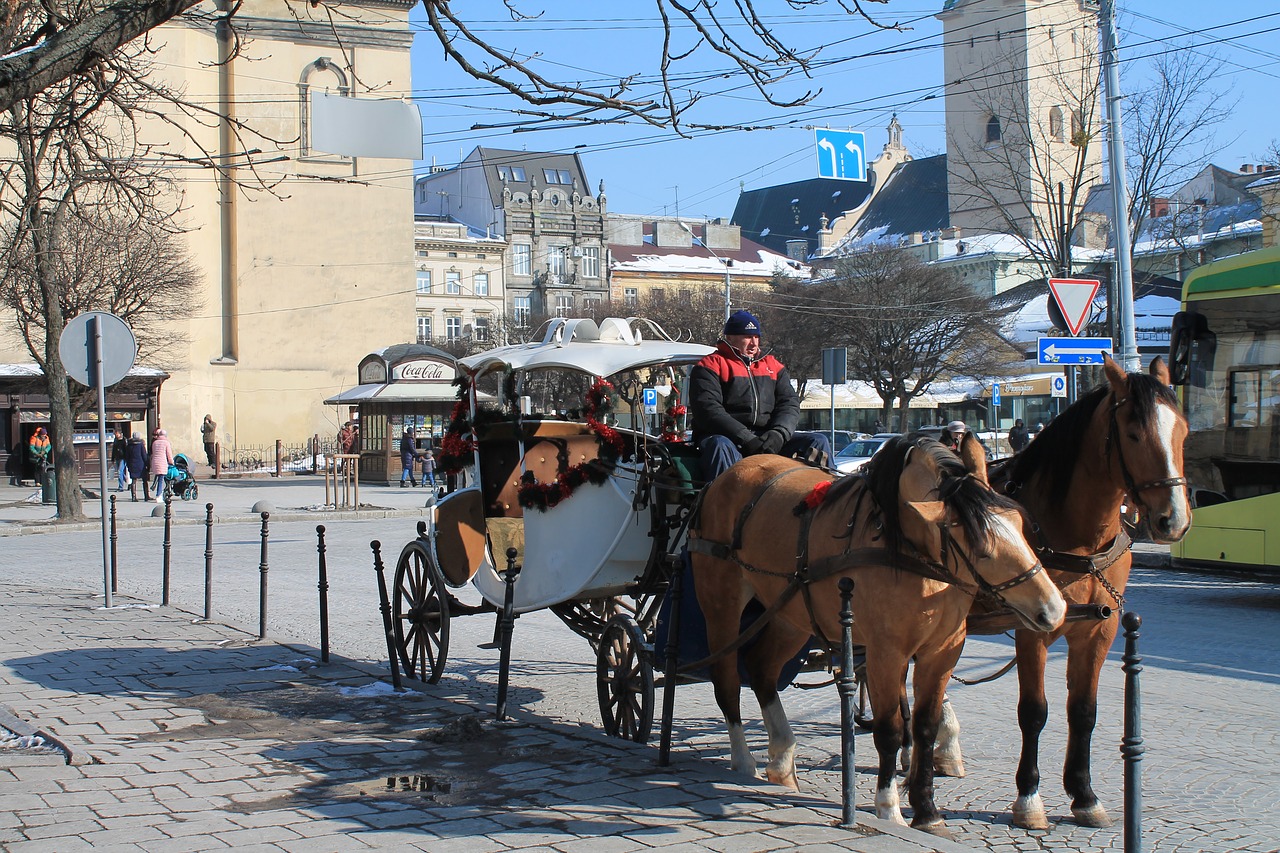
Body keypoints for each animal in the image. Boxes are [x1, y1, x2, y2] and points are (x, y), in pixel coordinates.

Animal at [691, 432, 1070, 829]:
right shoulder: (886, 653)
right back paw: (743, 758)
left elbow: (924, 726)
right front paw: (889, 808)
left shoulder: (943, 650)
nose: (1054, 608)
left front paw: (927, 811)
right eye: (982, 549)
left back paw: (781, 758)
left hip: (788, 613)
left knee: (762, 668)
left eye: (1020, 524)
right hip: (722, 605)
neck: (907, 548)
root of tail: (729, 476)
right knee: (727, 678)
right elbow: (890, 730)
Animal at [952, 356, 1187, 824]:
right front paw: (1029, 797)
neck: (1078, 540)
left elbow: (1083, 711)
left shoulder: (1099, 632)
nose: (1174, 520)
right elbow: (1034, 711)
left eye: (1183, 430)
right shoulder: (1033, 630)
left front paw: (1084, 793)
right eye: (1133, 433)